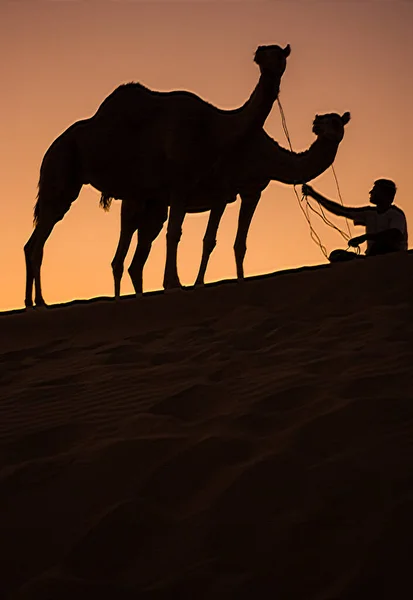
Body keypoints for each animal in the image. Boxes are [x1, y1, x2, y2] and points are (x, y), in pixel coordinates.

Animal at [25, 44, 290, 308]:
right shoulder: (179, 183)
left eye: (279, 54)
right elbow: (173, 233)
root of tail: (51, 148)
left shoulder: (181, 187)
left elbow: (173, 232)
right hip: (59, 170)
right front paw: (173, 284)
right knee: (41, 238)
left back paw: (31, 302)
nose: (262, 56)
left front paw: (175, 283)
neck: (212, 127)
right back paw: (40, 302)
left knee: (36, 240)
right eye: (265, 53)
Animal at [104, 110, 350, 298]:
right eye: (325, 118)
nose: (317, 123)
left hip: (155, 210)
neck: (264, 155)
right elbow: (209, 240)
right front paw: (198, 284)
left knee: (137, 260)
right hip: (135, 201)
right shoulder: (221, 190)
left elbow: (240, 244)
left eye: (335, 121)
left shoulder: (252, 192)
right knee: (120, 254)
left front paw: (240, 282)